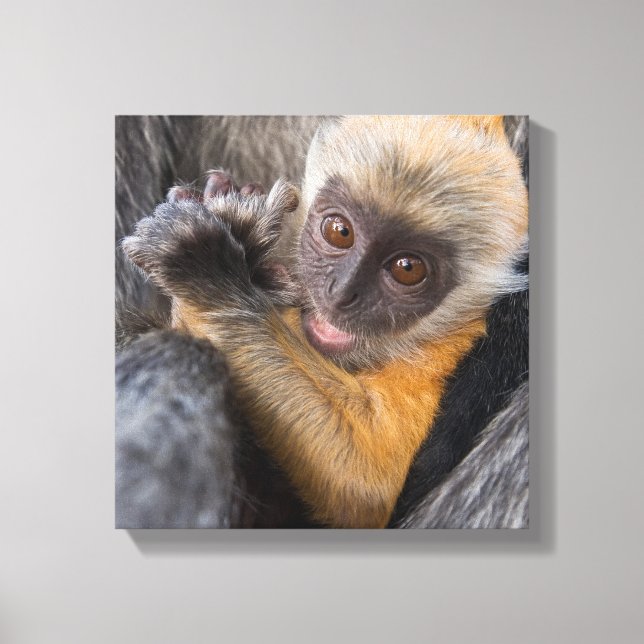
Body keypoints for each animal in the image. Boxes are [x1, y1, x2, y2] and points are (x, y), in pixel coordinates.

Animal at [119, 115, 528, 528]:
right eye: (339, 232)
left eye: (407, 268)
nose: (342, 292)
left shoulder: (449, 348)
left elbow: (365, 479)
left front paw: (207, 273)